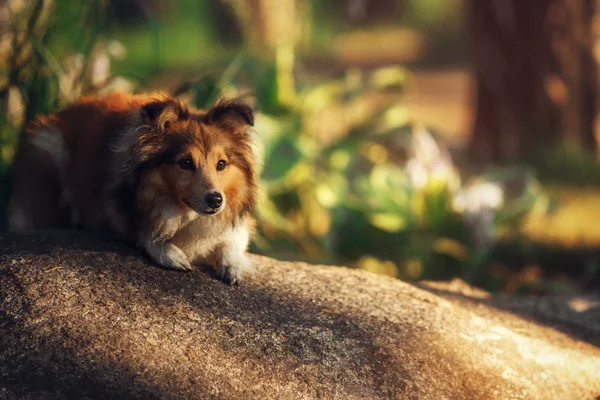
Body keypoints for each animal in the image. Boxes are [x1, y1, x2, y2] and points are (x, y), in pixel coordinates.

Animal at [7, 91, 258, 284]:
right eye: (186, 162)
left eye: (221, 164)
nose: (216, 200)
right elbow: (143, 230)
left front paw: (233, 266)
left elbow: (232, 240)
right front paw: (171, 254)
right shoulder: (115, 212)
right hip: (49, 150)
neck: (183, 213)